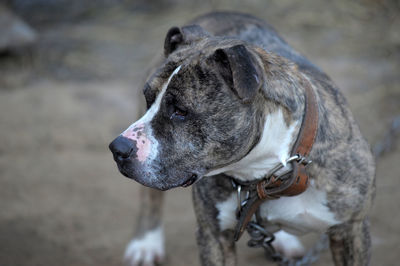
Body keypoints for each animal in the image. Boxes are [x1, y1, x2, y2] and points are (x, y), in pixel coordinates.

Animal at [108, 11, 376, 266]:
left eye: (180, 111)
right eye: (148, 98)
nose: (118, 148)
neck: (265, 170)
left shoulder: (352, 229)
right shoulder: (213, 236)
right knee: (150, 199)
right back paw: (146, 243)